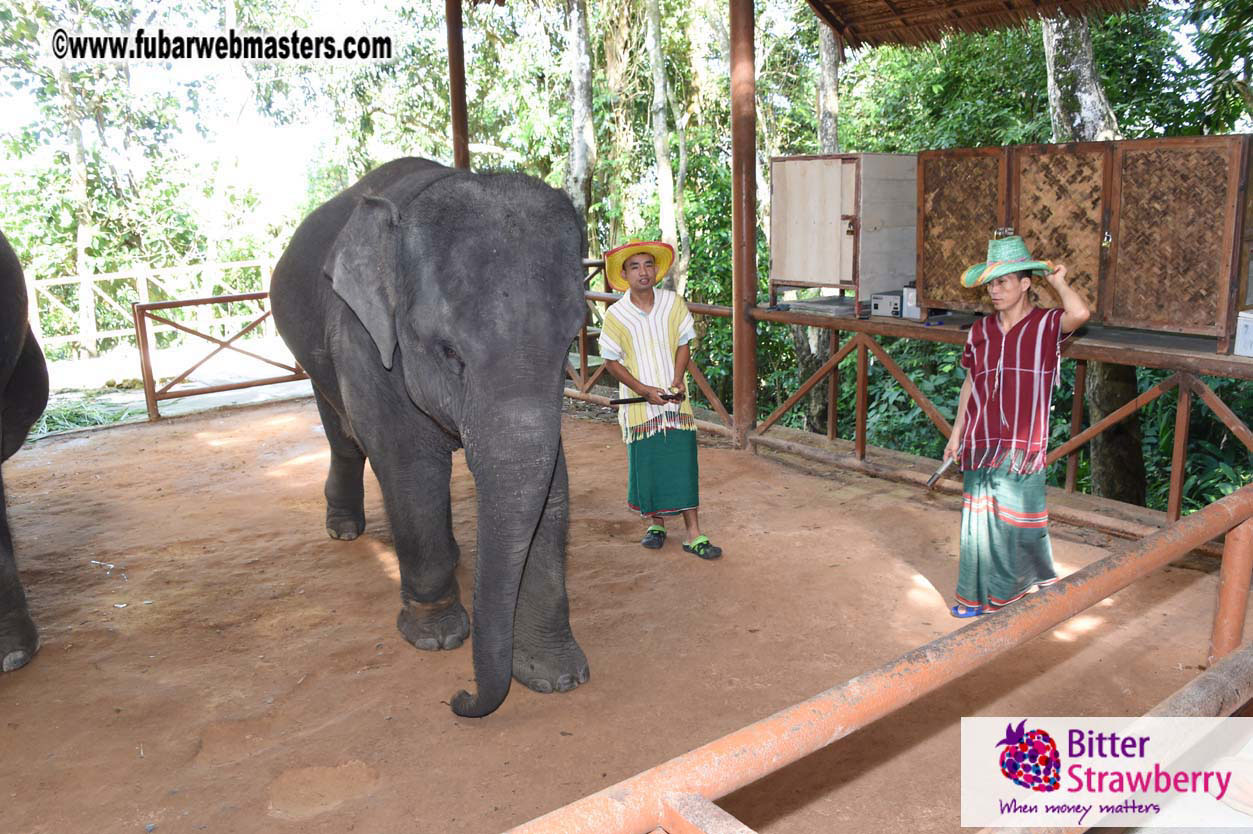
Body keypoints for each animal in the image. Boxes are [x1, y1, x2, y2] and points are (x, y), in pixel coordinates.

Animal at [270, 158, 590, 718]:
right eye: (449, 352)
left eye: (572, 341)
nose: (461, 698)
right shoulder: (364, 342)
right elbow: (411, 469)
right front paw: (435, 638)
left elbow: (552, 482)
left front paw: (555, 676)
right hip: (314, 355)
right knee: (342, 434)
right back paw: (343, 530)